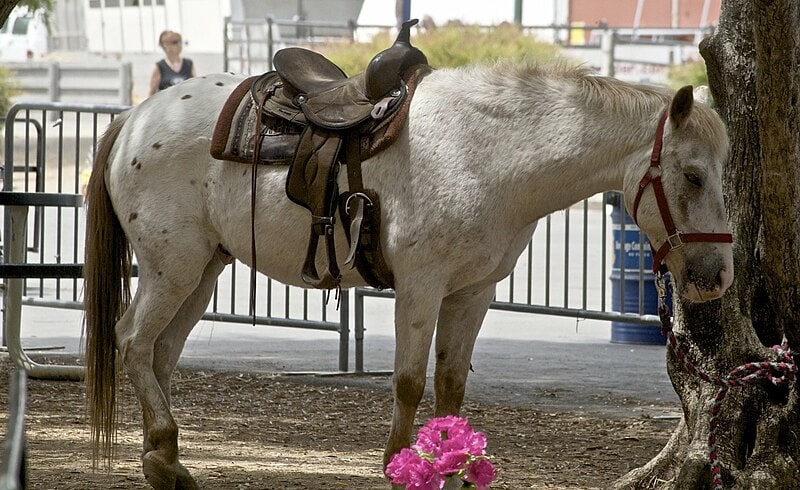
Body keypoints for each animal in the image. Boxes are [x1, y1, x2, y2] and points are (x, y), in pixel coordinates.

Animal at [84, 60, 734, 488]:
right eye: (693, 175)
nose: (718, 277)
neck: (489, 154)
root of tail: (133, 118)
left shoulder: (473, 293)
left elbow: (450, 384)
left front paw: (457, 470)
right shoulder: (421, 285)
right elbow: (409, 382)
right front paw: (399, 466)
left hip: (202, 270)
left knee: (162, 352)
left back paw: (166, 463)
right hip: (172, 267)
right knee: (132, 341)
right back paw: (162, 451)